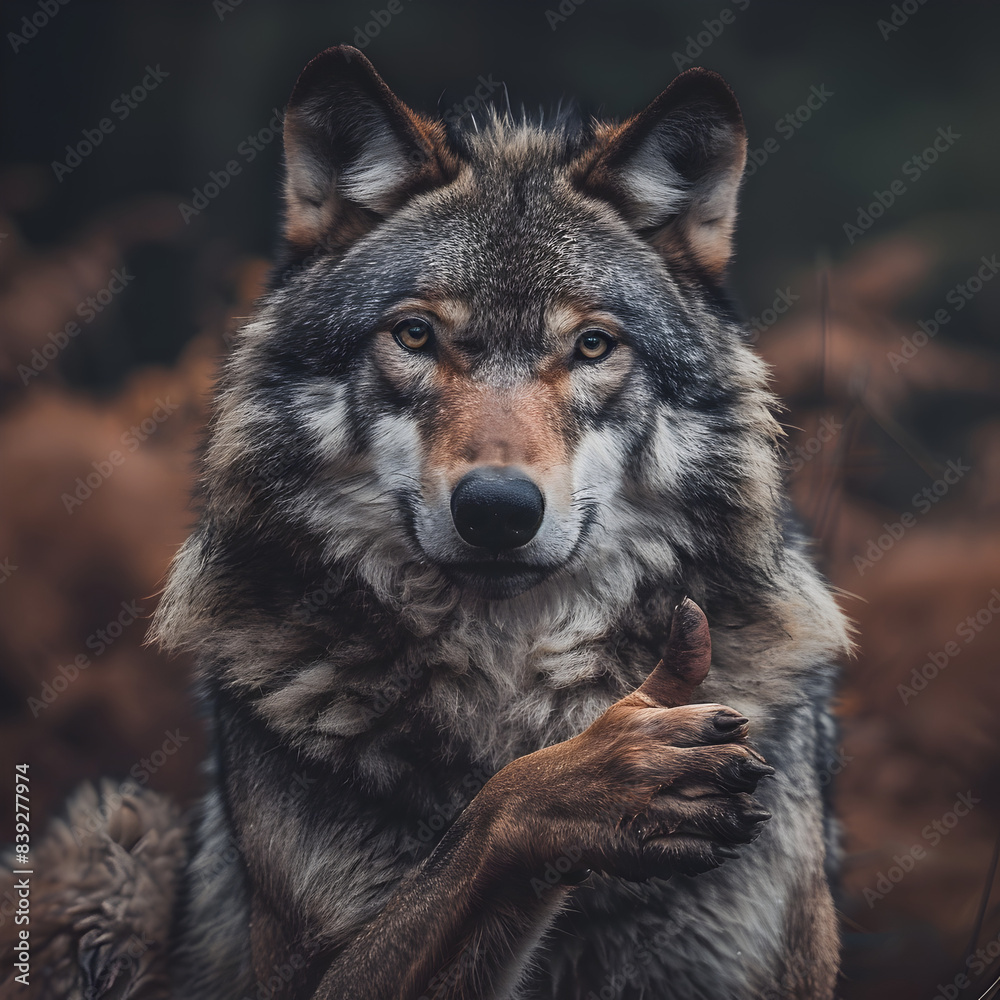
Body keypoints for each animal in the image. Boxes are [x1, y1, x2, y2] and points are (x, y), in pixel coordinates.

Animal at [4, 46, 849, 1000]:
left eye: (593, 346)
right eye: (414, 336)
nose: (498, 509)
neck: (507, 692)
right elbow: (492, 815)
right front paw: (593, 775)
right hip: (111, 828)